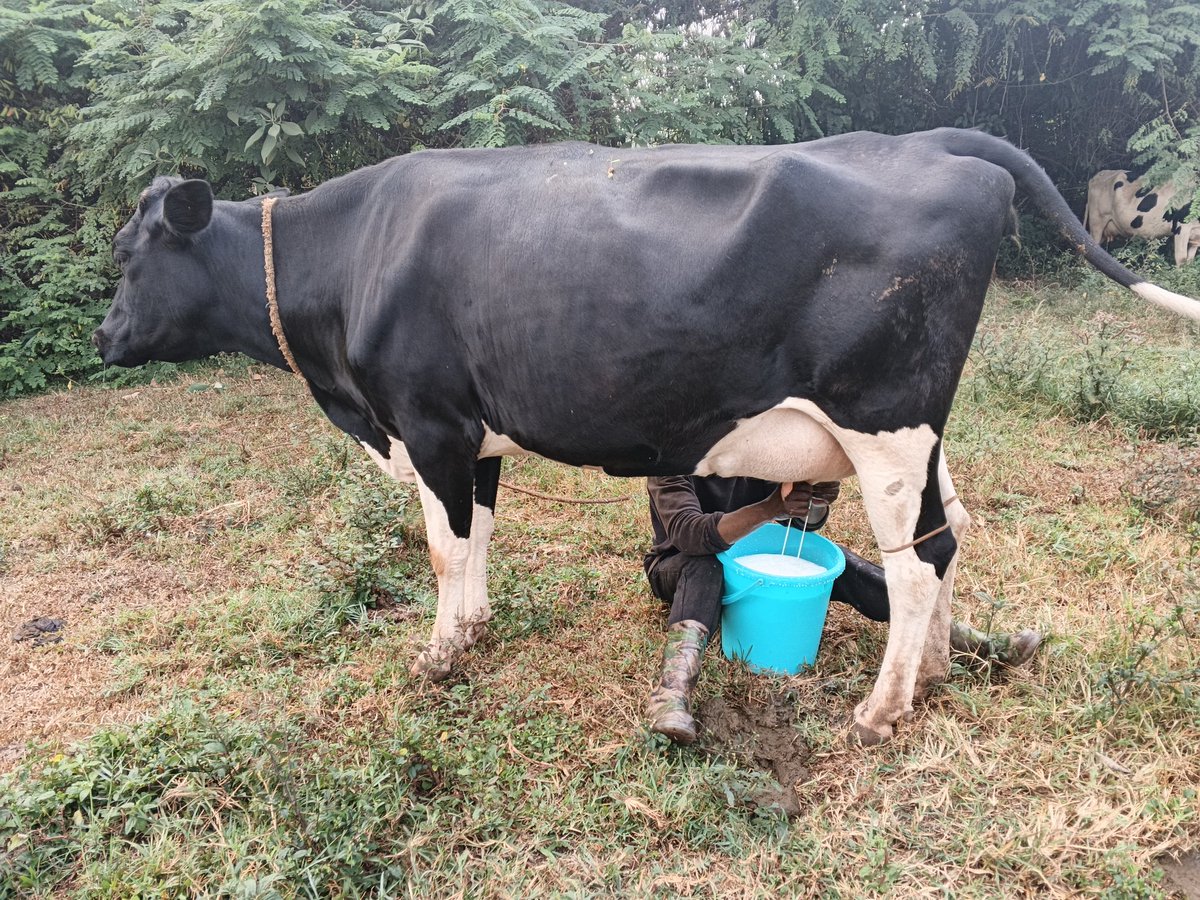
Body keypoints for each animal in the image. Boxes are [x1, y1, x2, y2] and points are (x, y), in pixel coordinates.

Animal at [93, 128, 1200, 747]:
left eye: (131, 255)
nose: (103, 338)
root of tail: (937, 143)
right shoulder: (471, 432)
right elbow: (478, 538)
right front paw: (477, 628)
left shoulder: (431, 420)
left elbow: (443, 545)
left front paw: (439, 653)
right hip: (920, 432)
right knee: (949, 532)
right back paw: (930, 676)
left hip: (884, 418)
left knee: (916, 559)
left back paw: (882, 712)